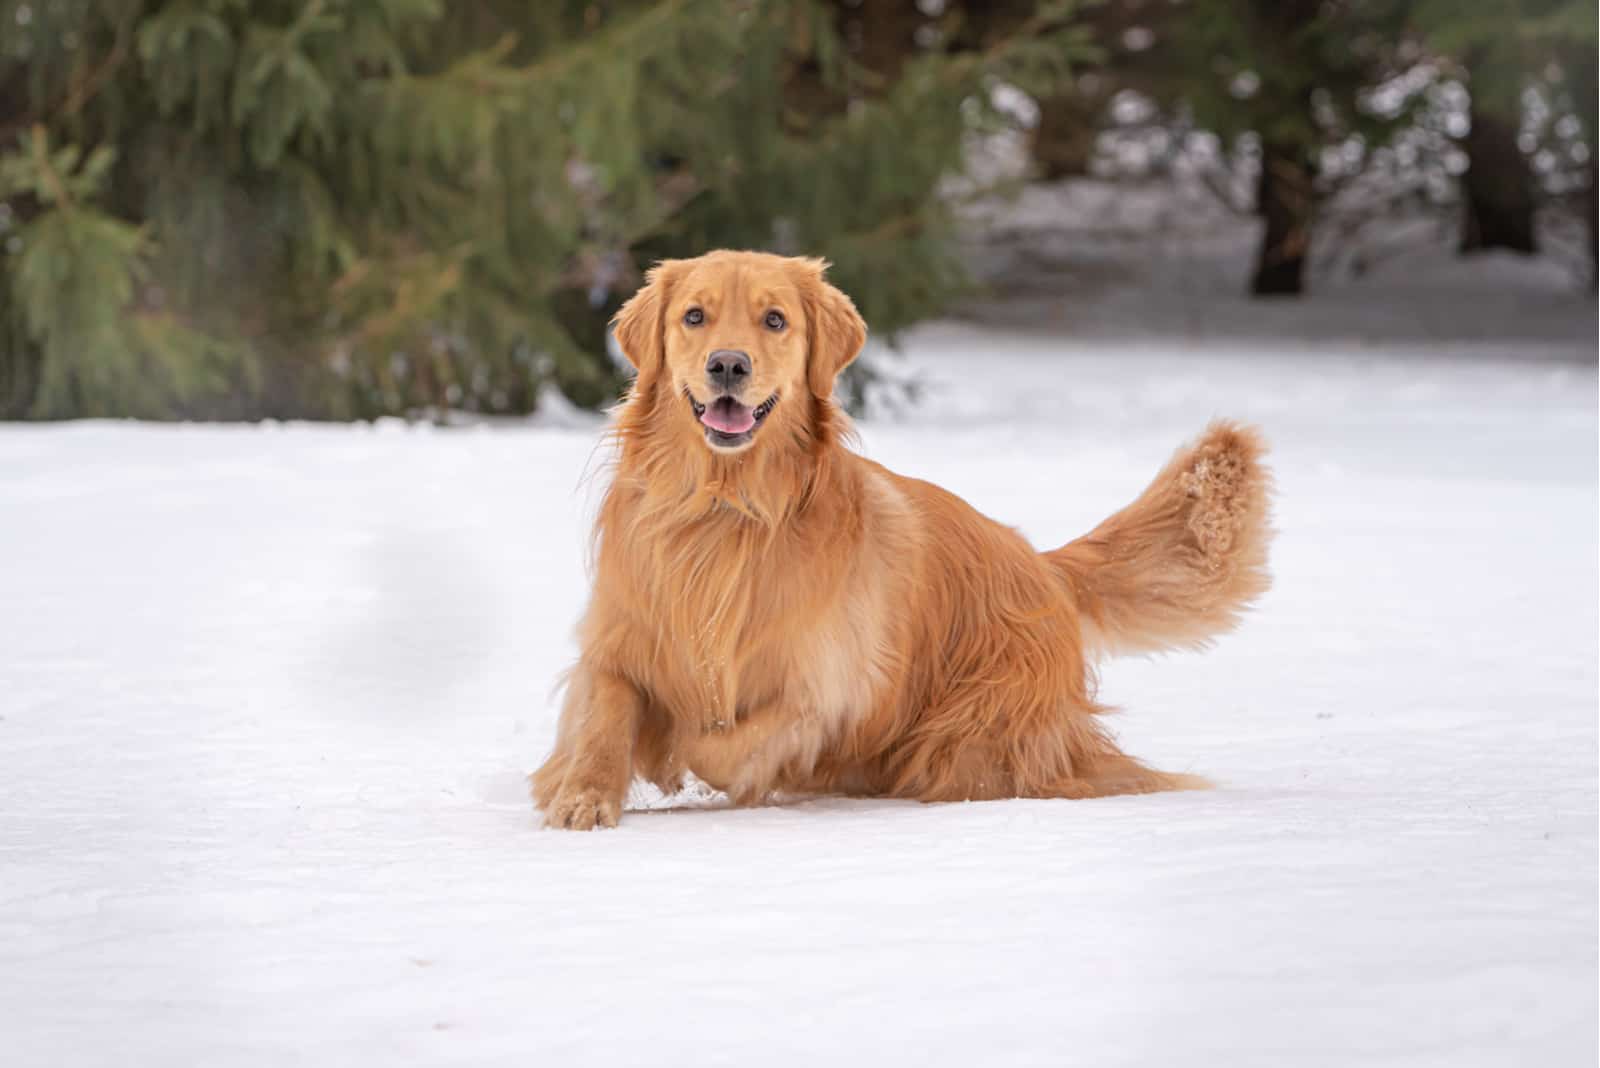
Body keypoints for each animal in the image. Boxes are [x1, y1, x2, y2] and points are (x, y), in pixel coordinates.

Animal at [537, 252, 1273, 831]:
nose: (727, 365)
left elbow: (720, 743)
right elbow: (605, 712)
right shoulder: (621, 634)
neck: (725, 509)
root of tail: (1044, 564)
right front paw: (581, 793)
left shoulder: (821, 690)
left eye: (774, 320)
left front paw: (670, 754)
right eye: (694, 317)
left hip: (969, 730)